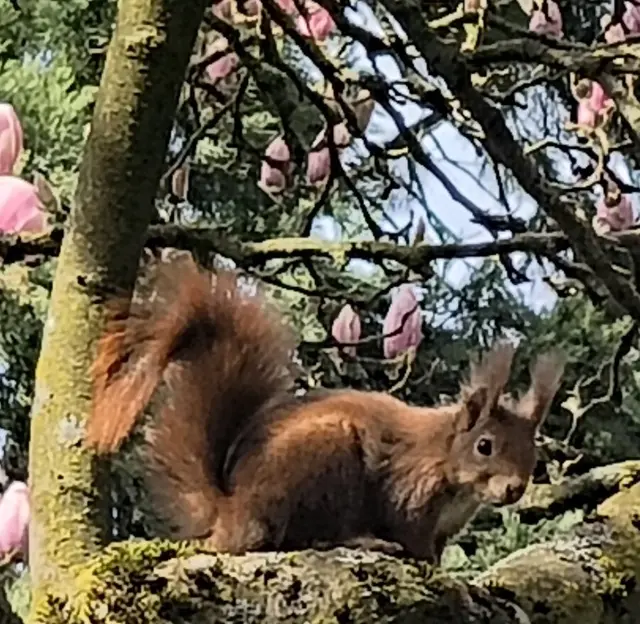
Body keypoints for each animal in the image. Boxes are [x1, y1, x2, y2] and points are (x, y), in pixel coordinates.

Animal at [85, 257, 566, 563]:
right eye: (485, 446)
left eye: (533, 452)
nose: (514, 489)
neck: (450, 462)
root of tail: (232, 514)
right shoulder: (408, 492)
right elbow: (410, 534)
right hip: (324, 463)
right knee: (306, 538)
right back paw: (365, 543)